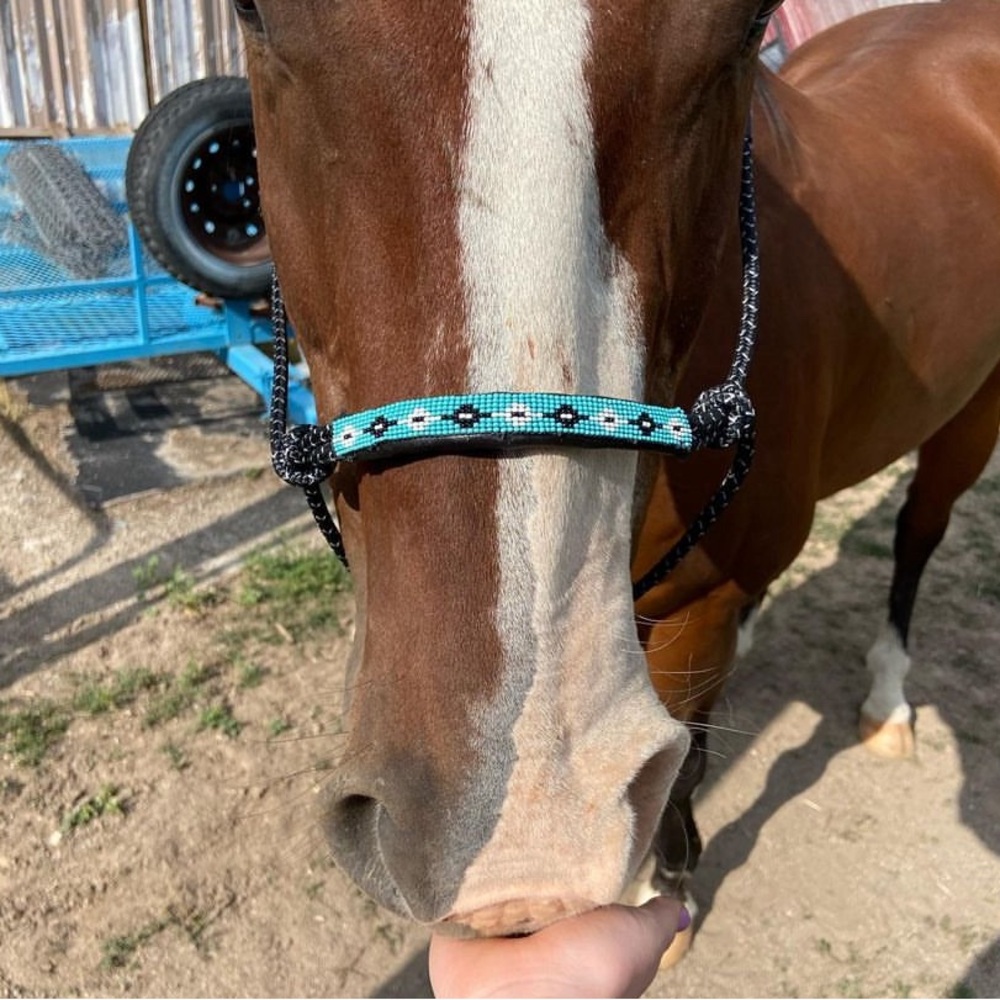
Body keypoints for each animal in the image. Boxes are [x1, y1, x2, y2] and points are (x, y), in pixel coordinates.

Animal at [235, 0, 1000, 944]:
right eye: (253, 13)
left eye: (748, 22)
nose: (520, 838)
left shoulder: (697, 609)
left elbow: (692, 752)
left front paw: (663, 888)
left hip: (974, 415)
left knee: (918, 534)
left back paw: (888, 697)